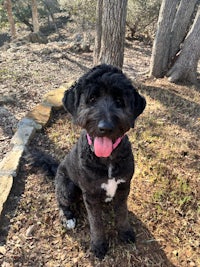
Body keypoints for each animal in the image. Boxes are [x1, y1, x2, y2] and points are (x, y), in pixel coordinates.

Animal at [54, 65, 145, 260]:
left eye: (119, 100)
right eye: (92, 99)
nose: (105, 127)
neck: (107, 159)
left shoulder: (124, 187)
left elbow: (122, 213)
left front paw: (125, 232)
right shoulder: (91, 195)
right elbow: (96, 223)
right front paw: (98, 245)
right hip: (68, 187)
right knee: (61, 200)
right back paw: (68, 217)